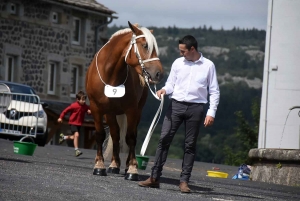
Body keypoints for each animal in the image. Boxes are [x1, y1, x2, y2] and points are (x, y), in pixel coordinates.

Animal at [84, 21, 164, 180]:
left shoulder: (131, 110)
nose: (159, 73)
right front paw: (99, 166)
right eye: (145, 45)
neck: (110, 75)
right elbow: (100, 135)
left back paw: (126, 166)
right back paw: (114, 165)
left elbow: (131, 137)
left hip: (136, 111)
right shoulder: (96, 109)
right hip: (110, 113)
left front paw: (132, 169)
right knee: (115, 135)